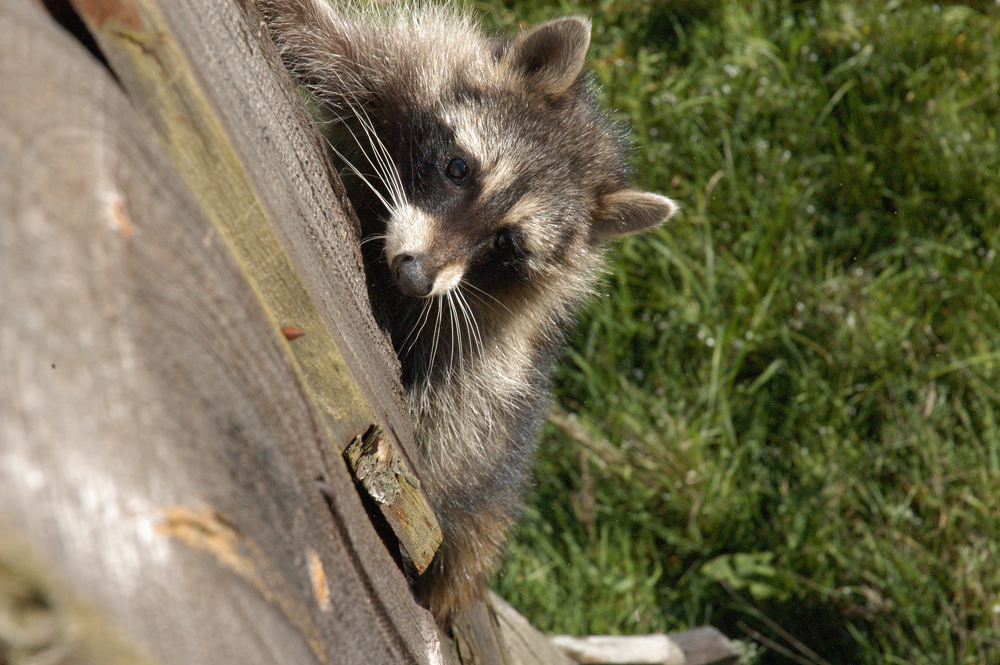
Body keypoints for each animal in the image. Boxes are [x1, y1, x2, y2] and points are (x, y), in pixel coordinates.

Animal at [258, 0, 680, 624]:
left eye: (507, 244)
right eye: (459, 169)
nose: (414, 276)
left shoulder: (494, 348)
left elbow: (442, 413)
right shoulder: (408, 68)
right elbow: (325, 40)